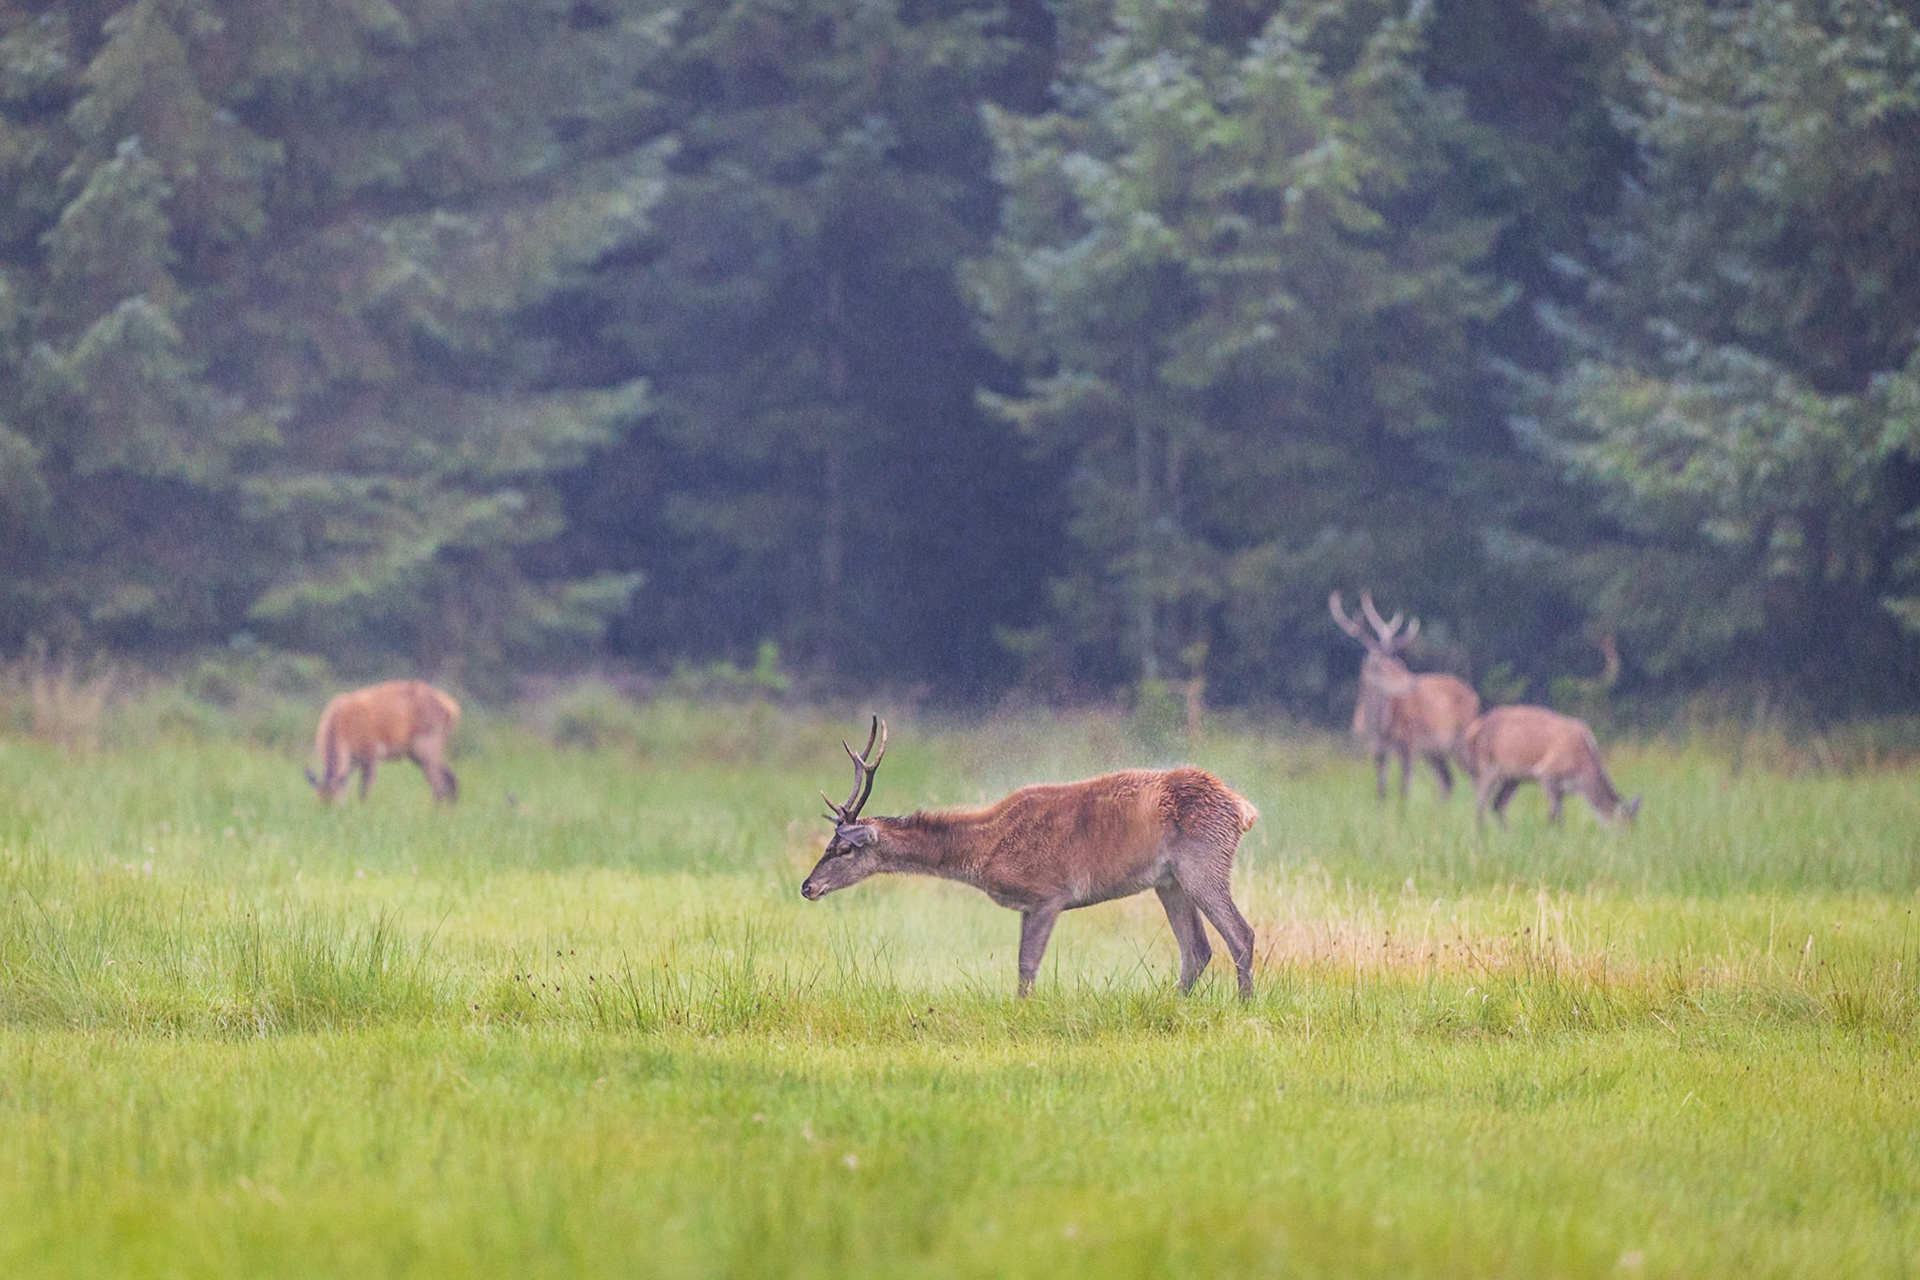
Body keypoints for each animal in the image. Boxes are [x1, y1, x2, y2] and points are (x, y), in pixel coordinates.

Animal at [306, 680, 461, 803]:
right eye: (319, 803)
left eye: (334, 802)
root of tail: (452, 708)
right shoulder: (352, 762)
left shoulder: (372, 753)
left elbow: (364, 791)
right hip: (414, 753)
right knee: (450, 779)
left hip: (428, 743)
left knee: (439, 787)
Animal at [799, 718, 1262, 998]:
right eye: (827, 844)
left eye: (843, 848)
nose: (807, 886)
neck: (987, 850)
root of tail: (1243, 808)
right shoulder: (1027, 904)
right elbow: (1022, 963)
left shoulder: (1048, 893)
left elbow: (1027, 965)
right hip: (1169, 881)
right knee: (1197, 950)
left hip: (1204, 860)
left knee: (1241, 934)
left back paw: (1243, 1005)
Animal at [1329, 591, 1481, 801]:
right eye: (1382, 667)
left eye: (1399, 663)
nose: (1413, 682)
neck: (1380, 727)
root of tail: (1475, 696)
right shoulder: (1376, 748)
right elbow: (1381, 790)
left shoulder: (1410, 742)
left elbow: (1404, 788)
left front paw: (1404, 809)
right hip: (1434, 751)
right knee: (1448, 781)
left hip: (1461, 737)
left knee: (1473, 776)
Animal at [1461, 704, 1641, 828]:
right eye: (1624, 824)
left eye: (1635, 826)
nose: (1626, 840)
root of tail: (1473, 730)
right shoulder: (1546, 774)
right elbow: (1555, 813)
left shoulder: (1562, 788)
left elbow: (1558, 812)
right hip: (1487, 766)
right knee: (1480, 802)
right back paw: (1481, 836)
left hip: (1513, 777)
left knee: (1498, 805)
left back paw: (1509, 835)